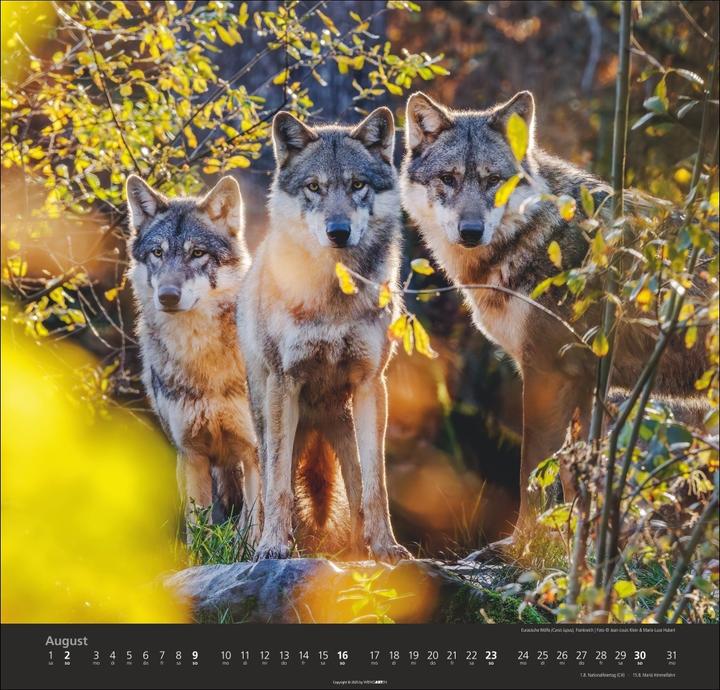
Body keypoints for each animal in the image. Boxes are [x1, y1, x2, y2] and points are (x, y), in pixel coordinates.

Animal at [126, 174, 262, 546]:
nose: (168, 296)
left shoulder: (253, 451)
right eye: (158, 253)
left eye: (197, 253)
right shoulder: (191, 453)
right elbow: (197, 529)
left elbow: (255, 525)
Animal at [238, 107, 411, 563]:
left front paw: (387, 547)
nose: (338, 231)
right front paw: (274, 546)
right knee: (264, 485)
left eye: (357, 185)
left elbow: (376, 486)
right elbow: (279, 486)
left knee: (355, 489)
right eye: (314, 187)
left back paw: (358, 548)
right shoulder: (285, 381)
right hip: (267, 418)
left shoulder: (372, 383)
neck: (333, 297)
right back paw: (256, 542)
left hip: (344, 424)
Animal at [400, 91, 710, 540]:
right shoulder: (584, 380)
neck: (537, 237)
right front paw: (575, 547)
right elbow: (574, 478)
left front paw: (523, 543)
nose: (471, 231)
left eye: (493, 180)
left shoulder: (546, 371)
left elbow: (532, 470)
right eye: (449, 178)